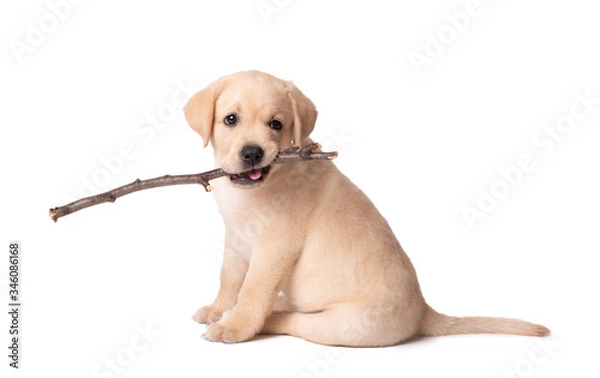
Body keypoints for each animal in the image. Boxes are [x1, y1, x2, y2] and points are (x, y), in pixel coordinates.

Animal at [184, 69, 548, 346]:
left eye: (276, 124)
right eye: (230, 119)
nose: (252, 153)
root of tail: (423, 311)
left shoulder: (275, 247)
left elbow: (253, 290)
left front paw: (235, 325)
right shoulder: (235, 238)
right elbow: (230, 279)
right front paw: (218, 307)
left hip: (342, 325)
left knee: (294, 321)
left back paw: (272, 315)